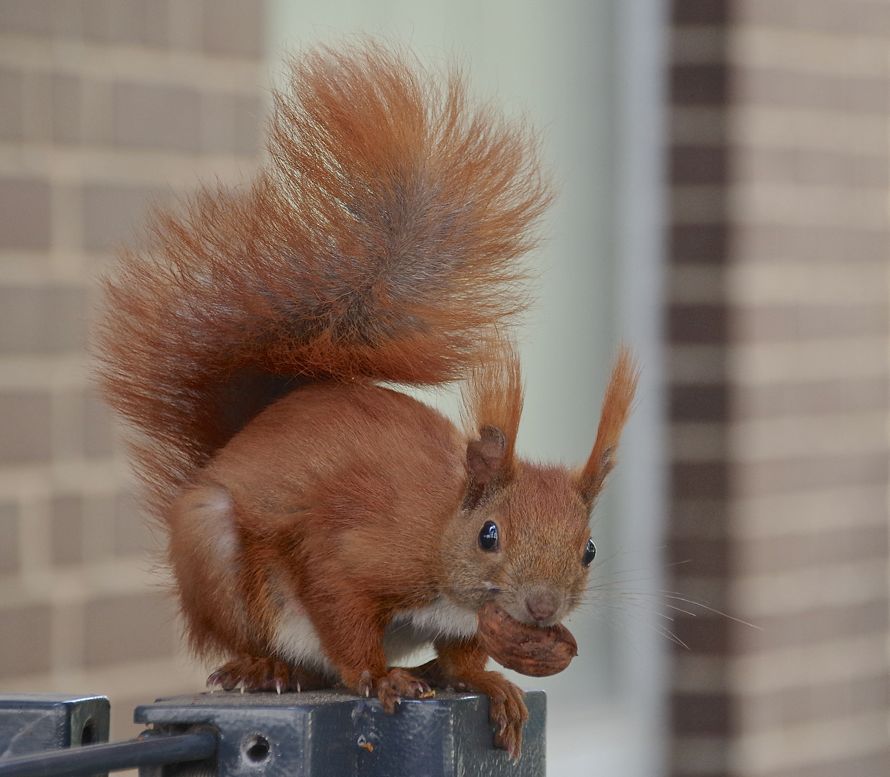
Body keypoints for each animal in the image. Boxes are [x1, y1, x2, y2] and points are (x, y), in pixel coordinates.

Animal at [97, 44, 636, 756]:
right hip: (216, 556)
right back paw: (267, 668)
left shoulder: (467, 621)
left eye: (589, 549)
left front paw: (488, 683)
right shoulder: (352, 551)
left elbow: (465, 656)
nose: (542, 608)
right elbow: (341, 611)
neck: (439, 529)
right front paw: (379, 677)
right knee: (266, 641)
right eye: (489, 534)